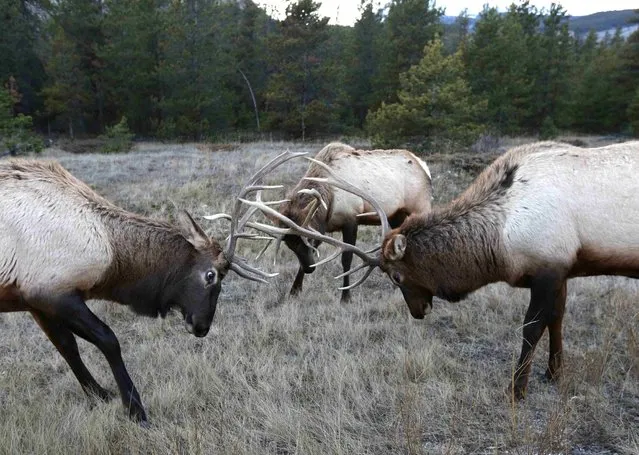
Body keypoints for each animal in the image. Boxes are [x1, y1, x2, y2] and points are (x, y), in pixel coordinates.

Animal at [0, 153, 302, 424]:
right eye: (211, 275)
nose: (202, 326)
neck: (109, 258)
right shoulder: (51, 290)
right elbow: (108, 339)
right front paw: (135, 410)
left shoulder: (33, 299)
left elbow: (67, 347)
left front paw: (100, 395)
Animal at [276, 142, 432, 302]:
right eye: (290, 245)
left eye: (308, 240)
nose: (310, 268)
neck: (329, 200)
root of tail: (424, 166)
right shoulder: (322, 227)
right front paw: (294, 291)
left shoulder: (350, 220)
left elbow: (347, 259)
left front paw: (346, 297)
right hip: (397, 215)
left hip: (421, 208)